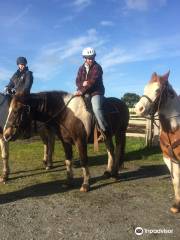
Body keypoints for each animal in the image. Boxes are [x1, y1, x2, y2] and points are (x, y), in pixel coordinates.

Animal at [135, 71, 180, 214]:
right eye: (145, 88)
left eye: (157, 90)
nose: (138, 109)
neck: (174, 129)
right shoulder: (169, 158)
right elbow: (176, 180)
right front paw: (177, 205)